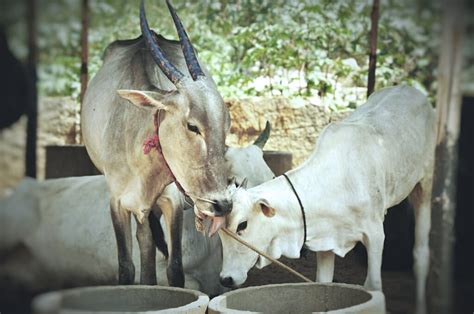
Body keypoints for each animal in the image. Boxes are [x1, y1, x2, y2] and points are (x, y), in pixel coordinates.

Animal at [220, 86, 436, 314]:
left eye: (242, 225)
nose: (226, 279)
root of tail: (408, 88)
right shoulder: (325, 240)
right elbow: (323, 282)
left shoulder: (376, 236)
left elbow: (373, 285)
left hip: (425, 183)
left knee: (421, 254)